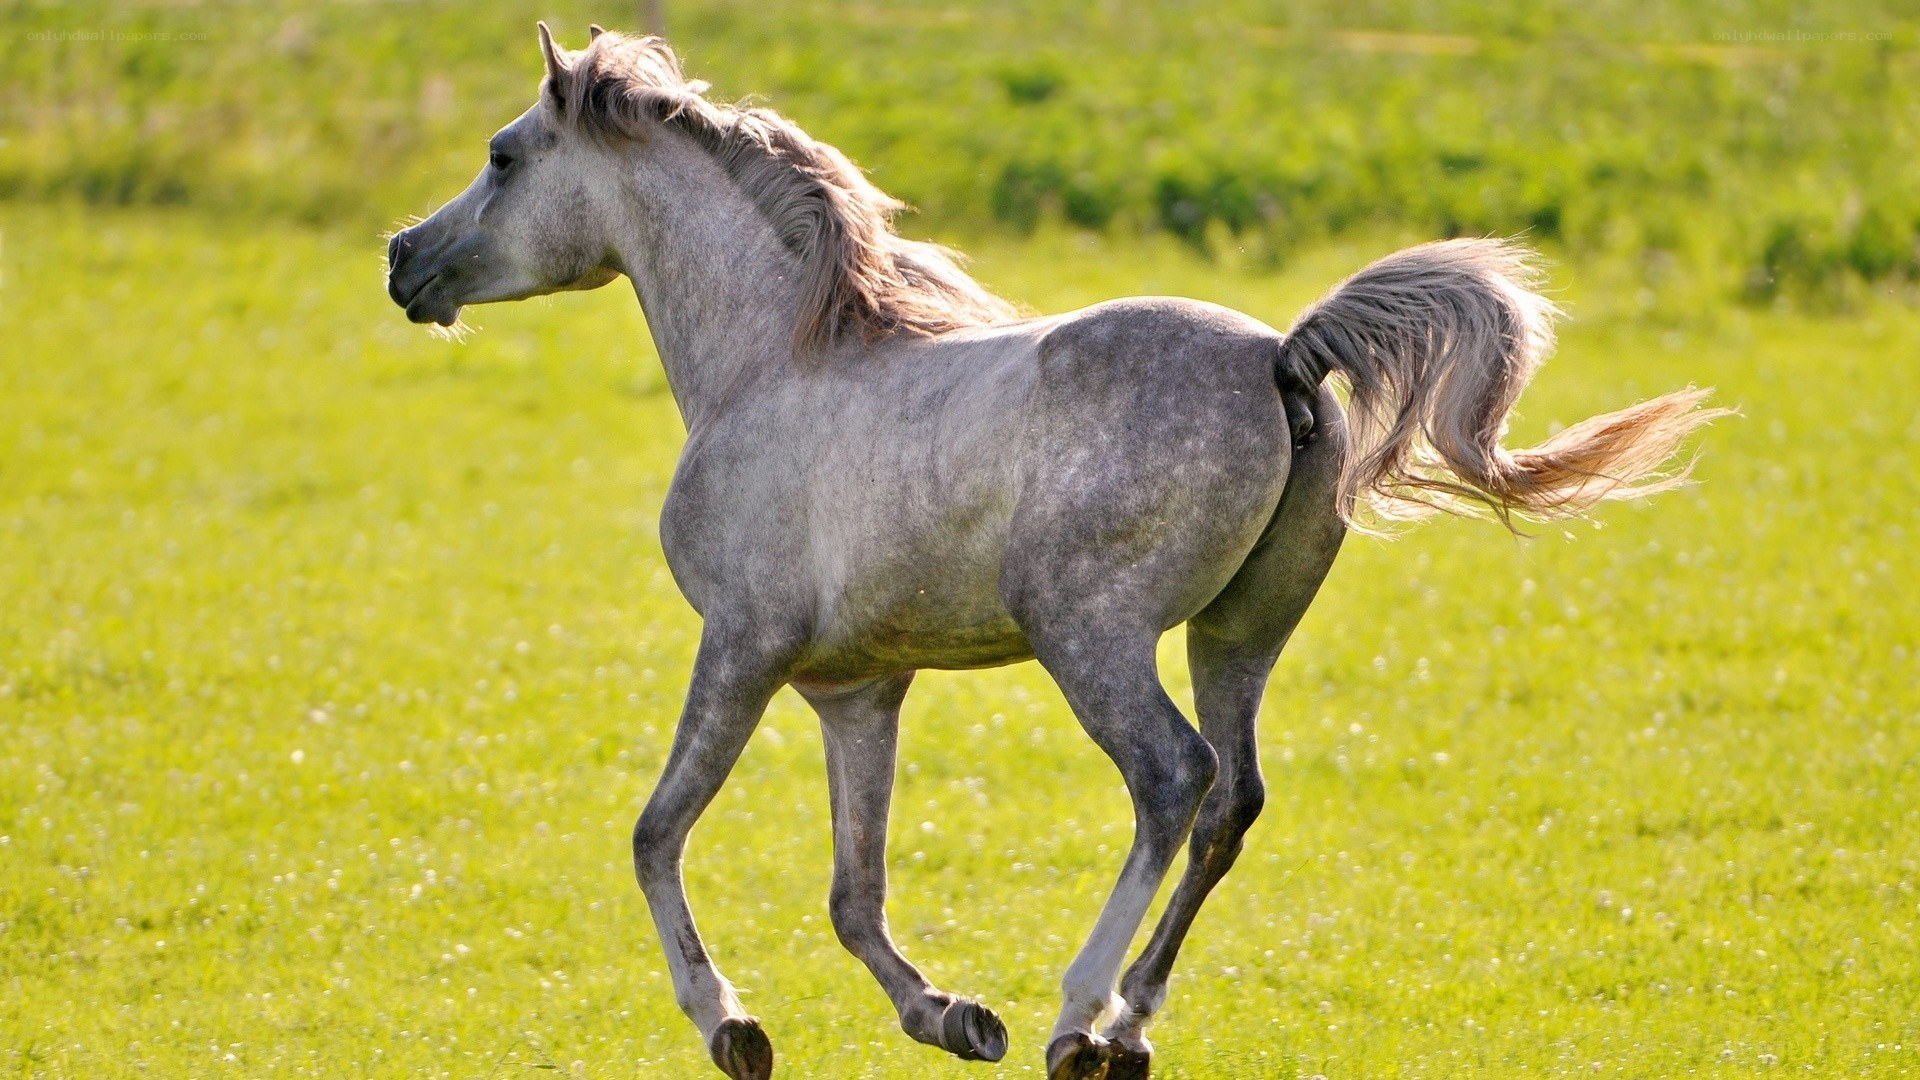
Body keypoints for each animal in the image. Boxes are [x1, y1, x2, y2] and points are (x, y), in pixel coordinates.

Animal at [385, 25, 1722, 1080]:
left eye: (503, 158)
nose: (404, 260)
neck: (774, 360)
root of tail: (1283, 356)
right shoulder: (856, 689)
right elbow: (853, 896)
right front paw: (951, 1016)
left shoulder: (744, 648)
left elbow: (657, 834)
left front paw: (733, 1026)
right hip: (1238, 636)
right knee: (1233, 798)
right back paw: (1129, 1027)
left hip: (1092, 635)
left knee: (1173, 781)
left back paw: (1079, 1020)